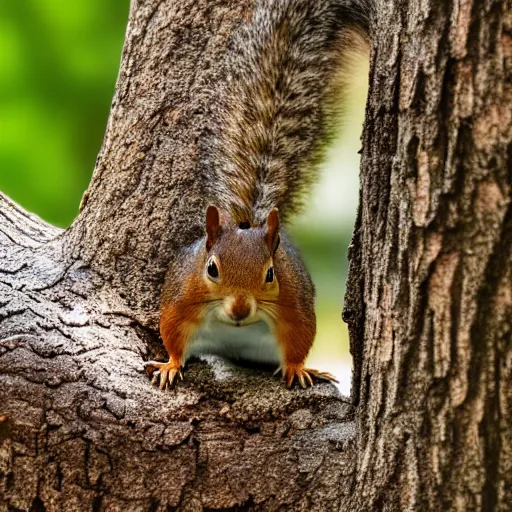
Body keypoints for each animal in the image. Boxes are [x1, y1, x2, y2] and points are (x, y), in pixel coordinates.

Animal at [146, 0, 370, 390]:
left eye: (270, 274)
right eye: (211, 268)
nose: (240, 307)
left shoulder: (295, 308)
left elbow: (299, 340)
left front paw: (298, 368)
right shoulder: (181, 299)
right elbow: (172, 334)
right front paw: (170, 364)